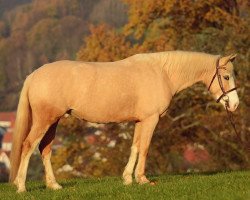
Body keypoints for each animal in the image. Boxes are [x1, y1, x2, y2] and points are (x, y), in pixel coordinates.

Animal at [9, 51, 238, 192]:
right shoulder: (151, 119)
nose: (235, 104)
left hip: (53, 121)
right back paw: (21, 186)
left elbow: (135, 147)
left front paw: (128, 178)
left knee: (44, 149)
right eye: (226, 77)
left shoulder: (140, 121)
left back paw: (54, 185)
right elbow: (144, 148)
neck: (162, 72)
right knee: (28, 146)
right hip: (44, 120)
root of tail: (34, 75)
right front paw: (143, 179)